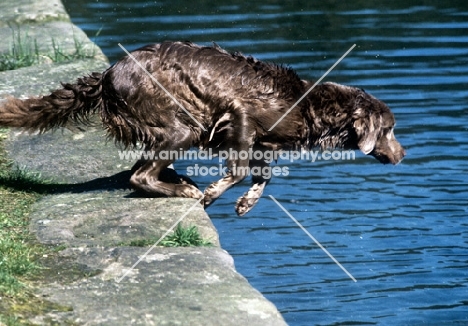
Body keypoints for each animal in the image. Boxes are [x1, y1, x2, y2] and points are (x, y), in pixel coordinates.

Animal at [0, 41, 406, 216]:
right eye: (389, 129)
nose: (403, 154)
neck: (308, 106)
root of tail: (107, 75)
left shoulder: (263, 144)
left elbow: (264, 177)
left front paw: (245, 203)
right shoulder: (238, 116)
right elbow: (238, 171)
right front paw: (212, 193)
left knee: (140, 168)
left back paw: (179, 180)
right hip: (184, 126)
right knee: (139, 175)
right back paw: (185, 190)